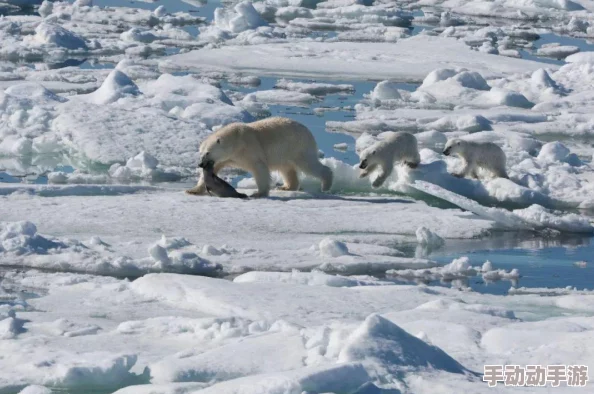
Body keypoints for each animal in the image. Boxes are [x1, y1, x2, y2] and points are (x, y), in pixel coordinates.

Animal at [185, 116, 332, 197]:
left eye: (208, 152)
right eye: (201, 153)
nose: (200, 164)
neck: (236, 140)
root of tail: (308, 131)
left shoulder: (249, 149)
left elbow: (259, 168)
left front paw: (258, 193)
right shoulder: (226, 158)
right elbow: (213, 170)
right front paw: (192, 190)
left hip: (297, 147)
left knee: (309, 165)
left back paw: (326, 185)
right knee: (287, 169)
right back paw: (286, 187)